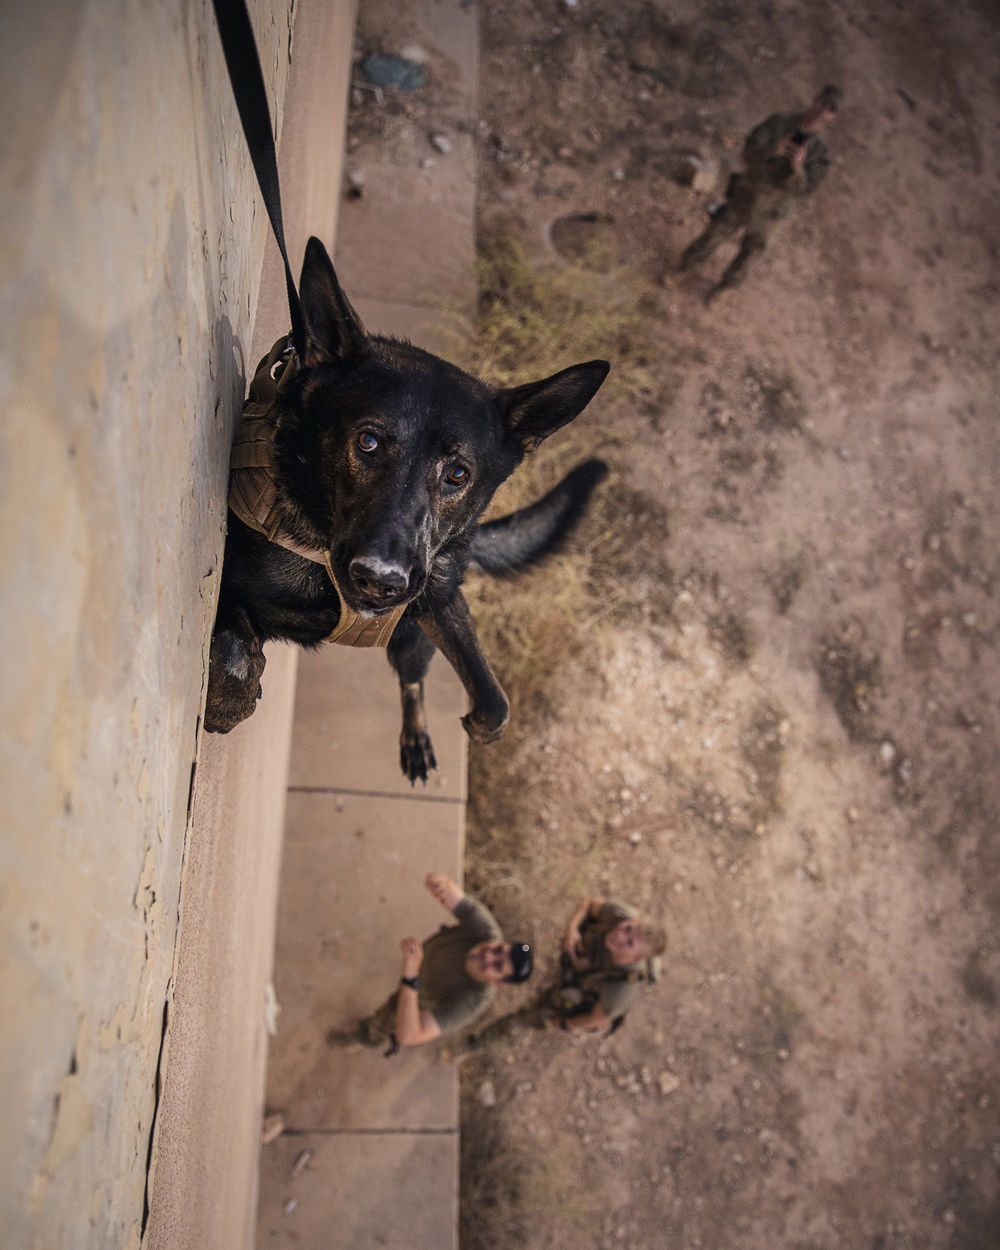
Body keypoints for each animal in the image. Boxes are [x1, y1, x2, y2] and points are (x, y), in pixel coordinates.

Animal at [206, 236, 605, 780]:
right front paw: (232, 698)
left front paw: (482, 724)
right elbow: (233, 652)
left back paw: (415, 735)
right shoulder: (232, 580)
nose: (382, 580)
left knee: (412, 680)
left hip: (411, 640)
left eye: (457, 474)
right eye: (369, 442)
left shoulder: (438, 601)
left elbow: (494, 700)